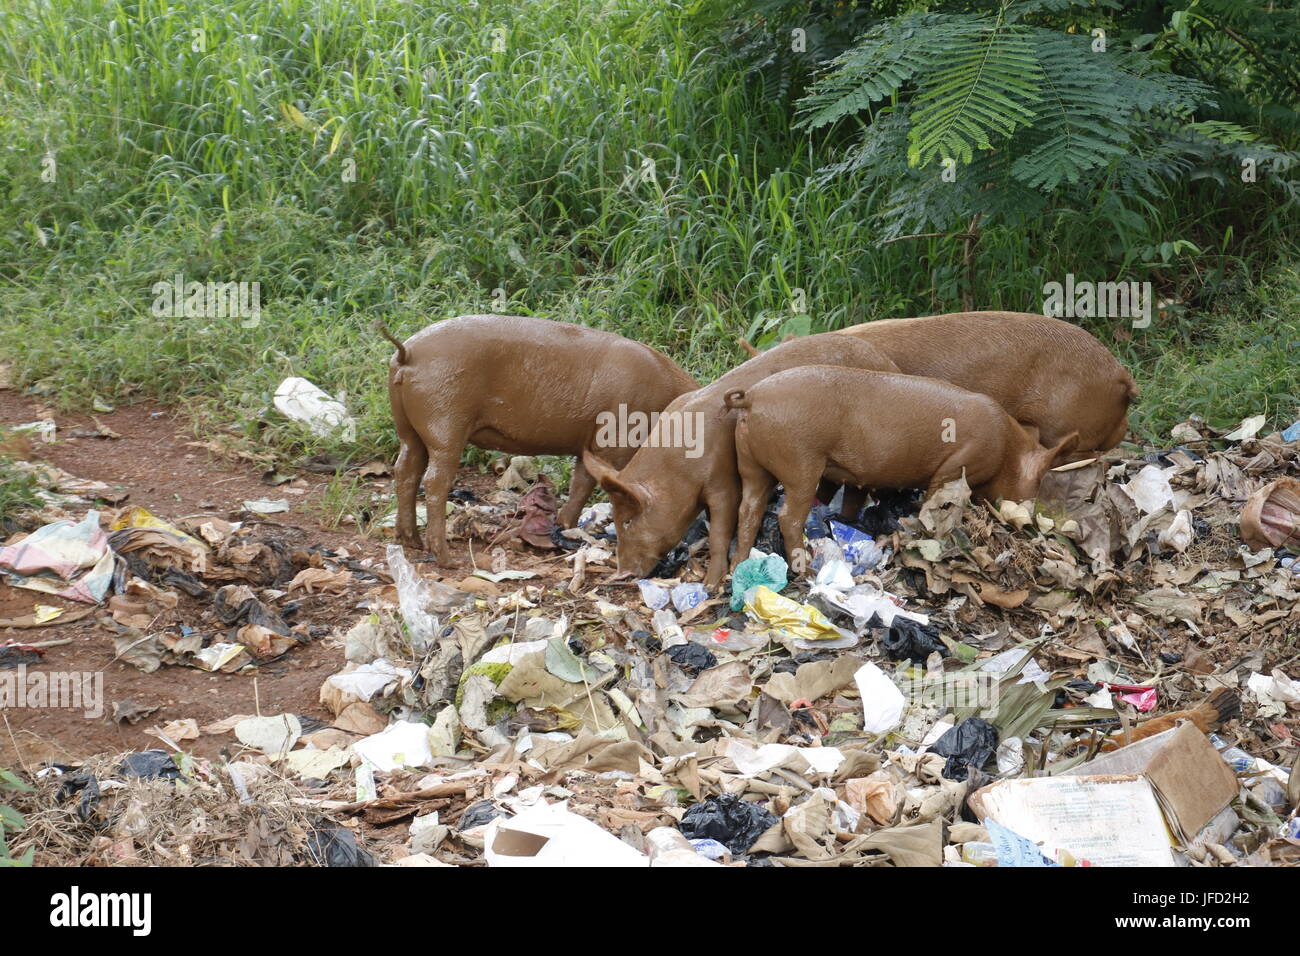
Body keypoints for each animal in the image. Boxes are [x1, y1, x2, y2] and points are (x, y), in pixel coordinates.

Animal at [378, 315, 697, 565]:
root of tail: (408, 352)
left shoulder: (589, 445)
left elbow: (581, 482)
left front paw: (564, 527)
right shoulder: (616, 441)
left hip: (407, 427)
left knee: (405, 469)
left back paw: (410, 541)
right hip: (445, 420)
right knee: (434, 480)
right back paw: (446, 559)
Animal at [581, 334, 900, 588]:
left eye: (628, 520)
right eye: (616, 519)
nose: (621, 573)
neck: (677, 469)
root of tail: (888, 362)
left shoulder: (723, 483)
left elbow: (720, 533)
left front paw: (711, 585)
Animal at [726, 366, 1078, 574]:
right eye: (1036, 486)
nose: (1029, 523)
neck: (1007, 448)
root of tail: (752, 397)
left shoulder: (856, 480)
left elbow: (852, 501)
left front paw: (851, 524)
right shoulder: (957, 466)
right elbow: (936, 498)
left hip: (751, 463)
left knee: (748, 510)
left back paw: (737, 567)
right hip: (801, 461)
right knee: (788, 516)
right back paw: (807, 568)